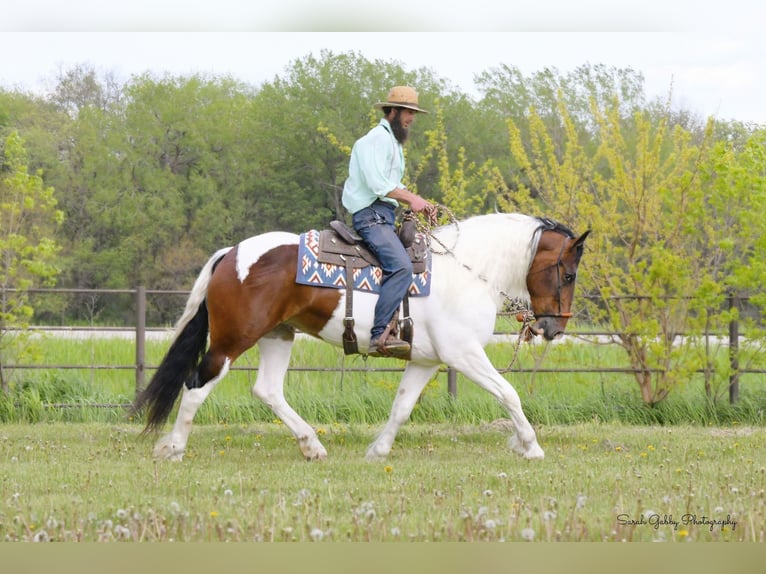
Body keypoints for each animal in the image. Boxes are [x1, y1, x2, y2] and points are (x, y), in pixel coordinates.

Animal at [134, 215, 588, 464]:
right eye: (568, 274)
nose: (554, 328)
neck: (468, 271)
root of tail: (232, 254)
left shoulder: (425, 360)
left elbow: (402, 407)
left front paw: (378, 451)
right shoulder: (464, 355)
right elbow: (509, 393)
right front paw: (530, 446)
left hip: (278, 335)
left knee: (267, 390)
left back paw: (312, 446)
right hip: (233, 339)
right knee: (196, 385)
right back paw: (173, 447)